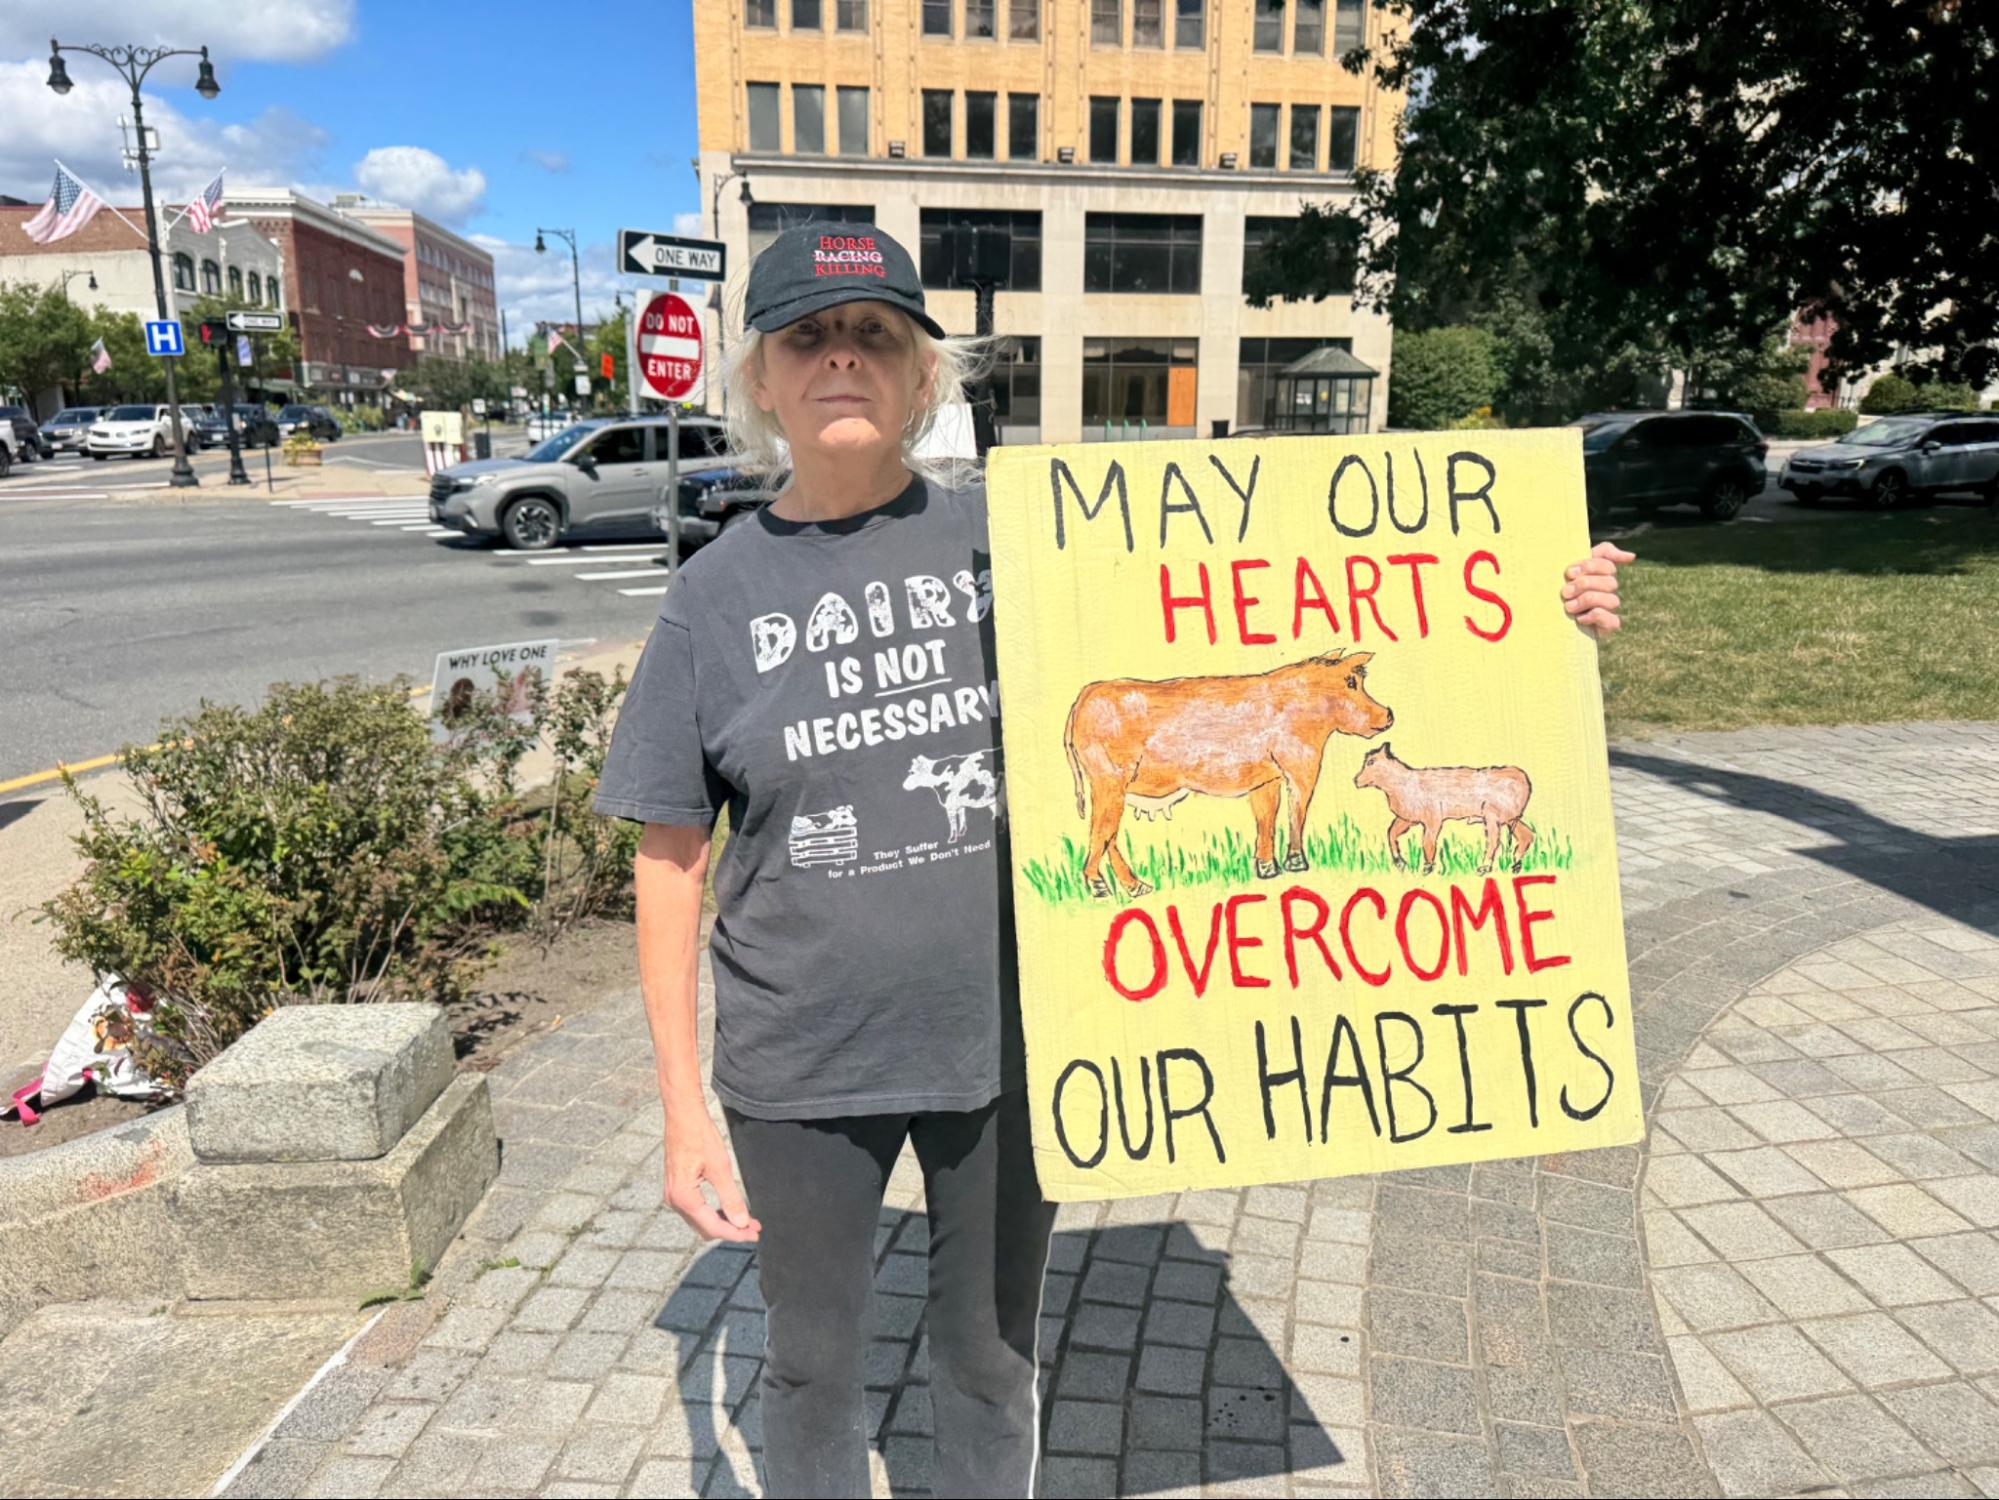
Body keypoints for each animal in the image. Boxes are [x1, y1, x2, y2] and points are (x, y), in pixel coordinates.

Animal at [1063, 651, 1393, 899]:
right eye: (1350, 682)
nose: (1389, 714)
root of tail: (1084, 696)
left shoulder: (1267, 777)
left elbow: (1266, 818)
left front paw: (1268, 868)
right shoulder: (1302, 765)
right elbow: (1296, 811)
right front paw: (1297, 863)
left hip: (1113, 788)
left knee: (1109, 834)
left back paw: (1137, 887)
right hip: (1109, 781)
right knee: (1101, 831)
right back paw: (1098, 886)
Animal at [1353, 744, 1535, 876]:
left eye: (1371, 762)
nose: (1356, 780)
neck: (1403, 784)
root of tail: (1522, 778)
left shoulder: (1433, 818)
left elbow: (1427, 842)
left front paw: (1427, 868)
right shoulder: (1408, 819)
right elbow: (1391, 833)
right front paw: (1400, 863)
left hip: (1492, 816)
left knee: (1493, 841)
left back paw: (1483, 868)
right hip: (1509, 818)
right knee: (1526, 835)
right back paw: (1516, 864)